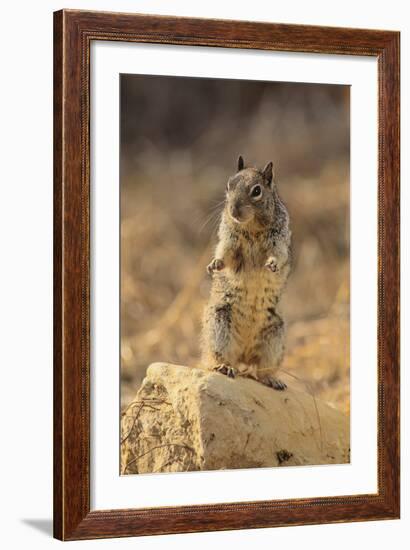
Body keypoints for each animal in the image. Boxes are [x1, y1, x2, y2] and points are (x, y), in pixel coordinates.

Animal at [201, 156, 292, 392]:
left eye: (257, 191)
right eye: (228, 185)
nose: (233, 211)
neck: (251, 227)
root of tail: (243, 353)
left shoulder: (279, 241)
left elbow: (278, 255)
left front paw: (272, 264)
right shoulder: (229, 241)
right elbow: (225, 255)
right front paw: (214, 264)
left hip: (274, 338)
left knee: (259, 370)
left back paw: (272, 379)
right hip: (219, 327)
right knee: (216, 358)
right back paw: (225, 367)